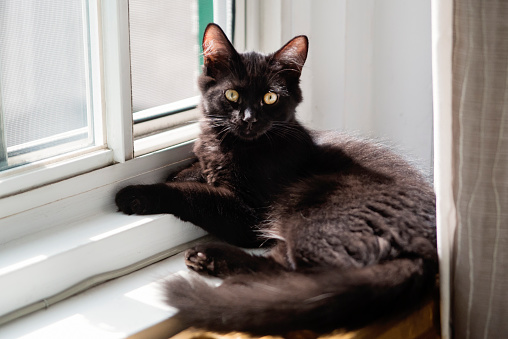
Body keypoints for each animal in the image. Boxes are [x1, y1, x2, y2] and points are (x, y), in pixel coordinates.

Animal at [115, 23, 436, 338]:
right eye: (232, 95)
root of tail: (427, 252)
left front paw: (136, 194)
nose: (248, 119)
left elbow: (192, 193)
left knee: (312, 279)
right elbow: (196, 171)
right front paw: (185, 171)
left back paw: (222, 271)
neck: (234, 145)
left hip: (311, 210)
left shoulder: (249, 213)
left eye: (270, 97)